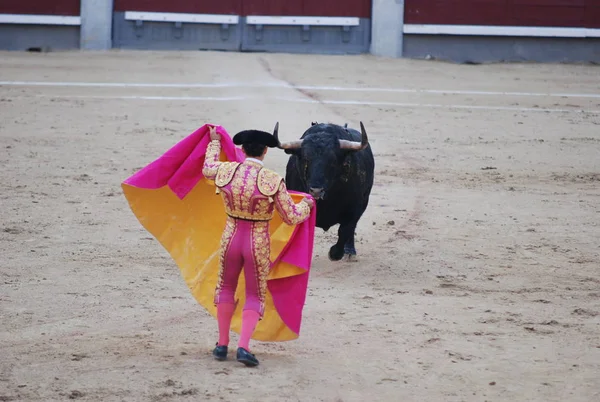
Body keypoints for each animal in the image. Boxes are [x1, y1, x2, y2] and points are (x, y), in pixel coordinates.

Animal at [274, 121, 376, 262]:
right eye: (306, 159)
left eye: (333, 161)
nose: (316, 191)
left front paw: (335, 253)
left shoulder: (355, 209)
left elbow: (345, 230)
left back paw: (350, 251)